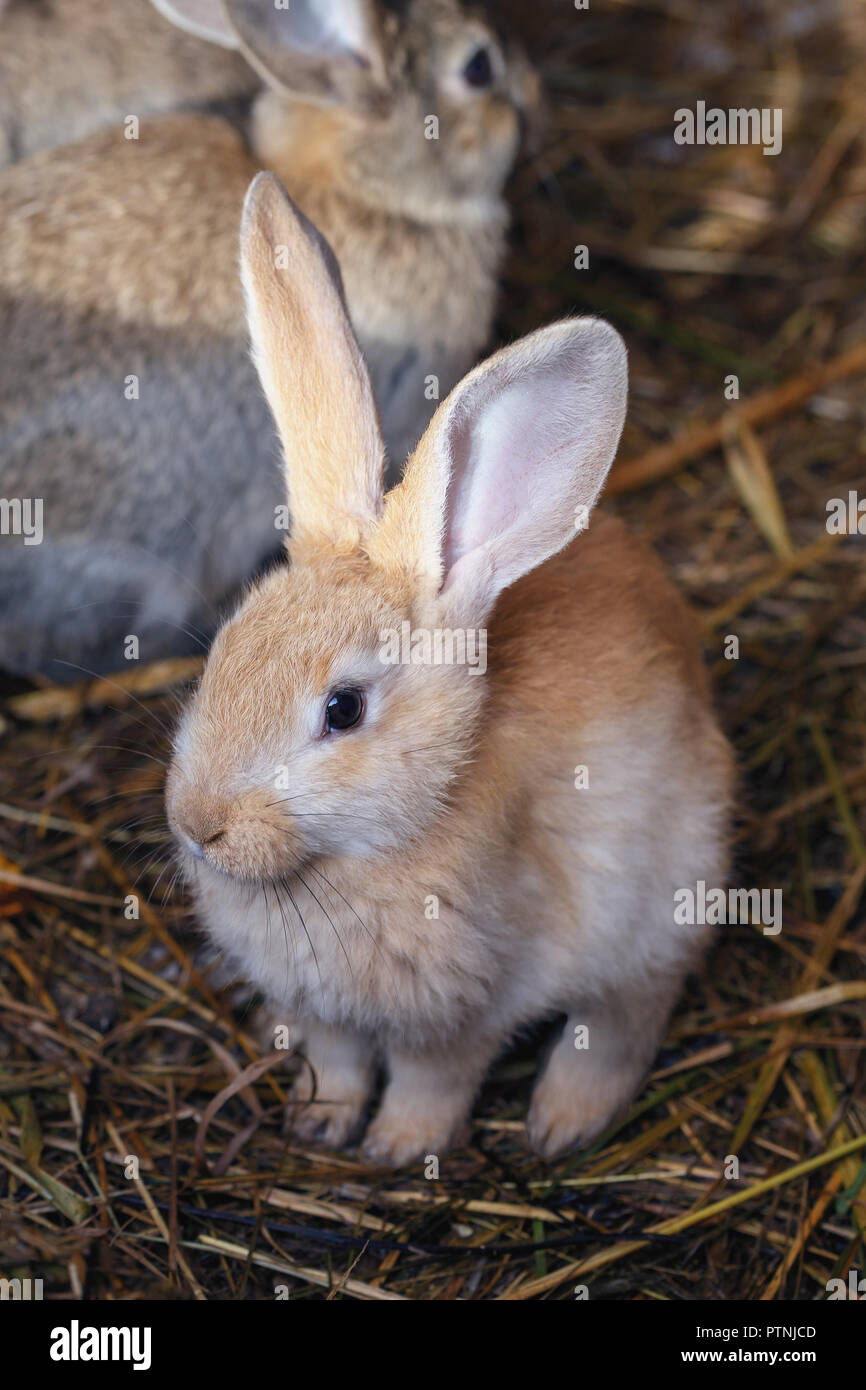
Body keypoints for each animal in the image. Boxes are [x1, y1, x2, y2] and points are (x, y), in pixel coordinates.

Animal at [166, 176, 733, 1173]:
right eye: (222, 652)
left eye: (343, 710)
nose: (199, 826)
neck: (364, 851)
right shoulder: (328, 1017)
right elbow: (336, 1061)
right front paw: (319, 1122)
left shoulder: (470, 1004)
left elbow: (434, 1080)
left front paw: (397, 1149)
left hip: (659, 907)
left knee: (620, 1024)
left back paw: (562, 1123)